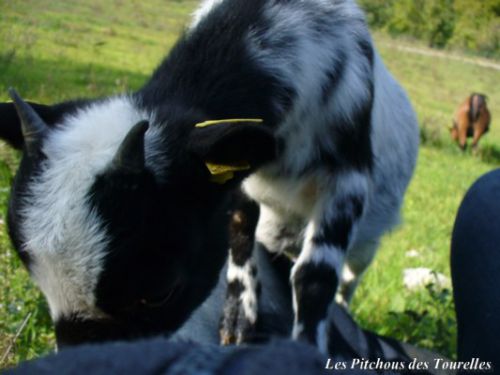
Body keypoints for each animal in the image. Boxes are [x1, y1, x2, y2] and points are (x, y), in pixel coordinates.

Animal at [0, 0, 418, 352]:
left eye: (159, 292)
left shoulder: (347, 180)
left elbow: (315, 277)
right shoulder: (242, 179)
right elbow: (239, 225)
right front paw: (238, 314)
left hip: (367, 243)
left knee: (348, 278)